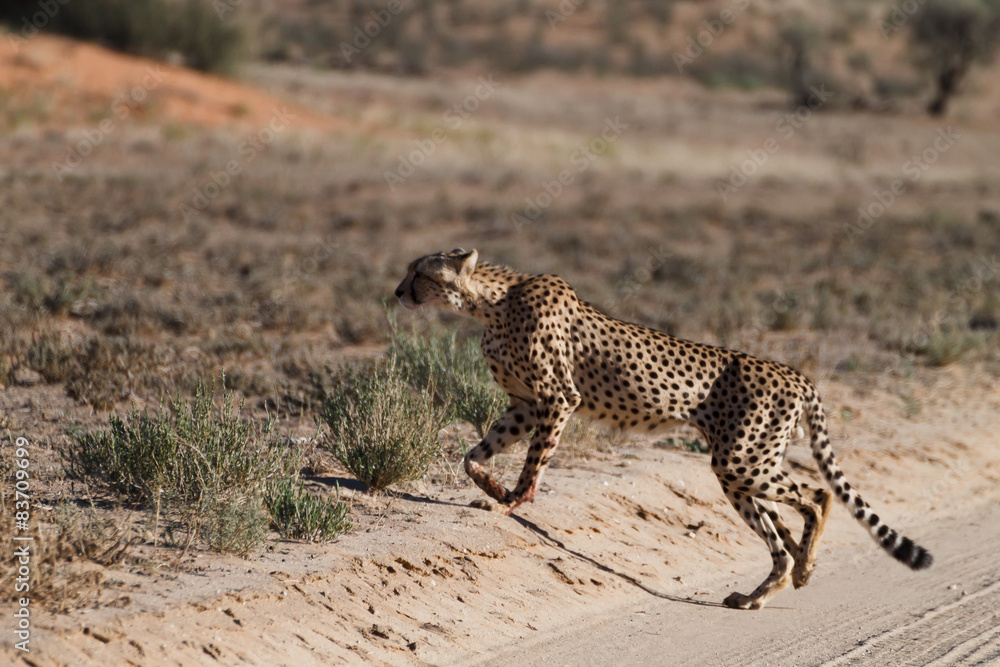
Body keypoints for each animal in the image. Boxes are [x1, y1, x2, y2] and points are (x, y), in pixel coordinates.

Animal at [394, 248, 933, 610]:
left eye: (418, 271)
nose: (398, 292)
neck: (490, 302)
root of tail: (797, 373)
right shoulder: (527, 404)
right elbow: (473, 454)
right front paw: (491, 487)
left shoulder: (558, 399)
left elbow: (532, 464)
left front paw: (511, 502)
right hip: (743, 466)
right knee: (781, 534)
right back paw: (774, 585)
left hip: (741, 460)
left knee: (817, 496)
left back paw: (797, 569)